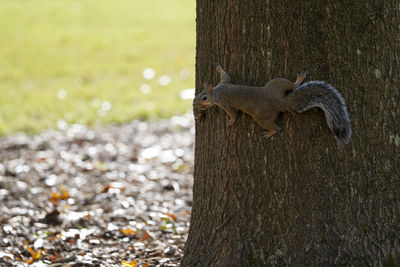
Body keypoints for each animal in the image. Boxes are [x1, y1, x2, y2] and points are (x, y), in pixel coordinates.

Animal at [194, 65, 354, 147]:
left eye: (204, 98)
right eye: (196, 95)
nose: (195, 105)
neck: (217, 92)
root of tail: (280, 102)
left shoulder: (225, 103)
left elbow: (233, 114)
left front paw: (230, 122)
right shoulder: (224, 83)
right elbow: (226, 76)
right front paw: (220, 69)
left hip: (263, 116)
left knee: (277, 126)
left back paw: (271, 132)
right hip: (276, 85)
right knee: (290, 86)